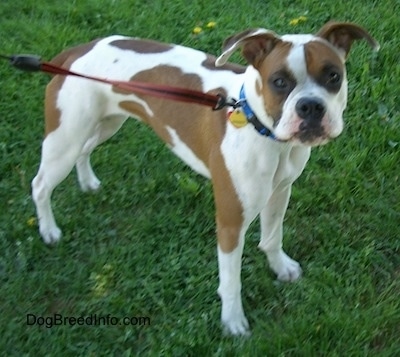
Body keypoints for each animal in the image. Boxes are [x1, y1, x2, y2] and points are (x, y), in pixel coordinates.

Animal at [31, 21, 378, 334]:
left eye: (333, 76)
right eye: (279, 81)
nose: (311, 106)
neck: (259, 127)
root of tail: (79, 49)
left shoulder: (280, 193)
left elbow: (272, 237)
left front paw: (280, 267)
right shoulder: (230, 221)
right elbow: (231, 280)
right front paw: (233, 321)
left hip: (104, 124)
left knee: (85, 149)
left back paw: (87, 182)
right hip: (64, 140)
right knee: (40, 184)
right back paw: (49, 230)